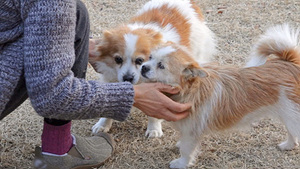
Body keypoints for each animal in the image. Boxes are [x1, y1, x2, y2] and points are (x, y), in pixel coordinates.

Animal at [140, 24, 300, 168]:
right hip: (289, 116)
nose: (143, 67)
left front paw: (181, 164)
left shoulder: (192, 132)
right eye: (150, 57)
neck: (191, 89)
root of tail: (289, 63)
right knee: (292, 133)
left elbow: (186, 150)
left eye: (161, 66)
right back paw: (288, 145)